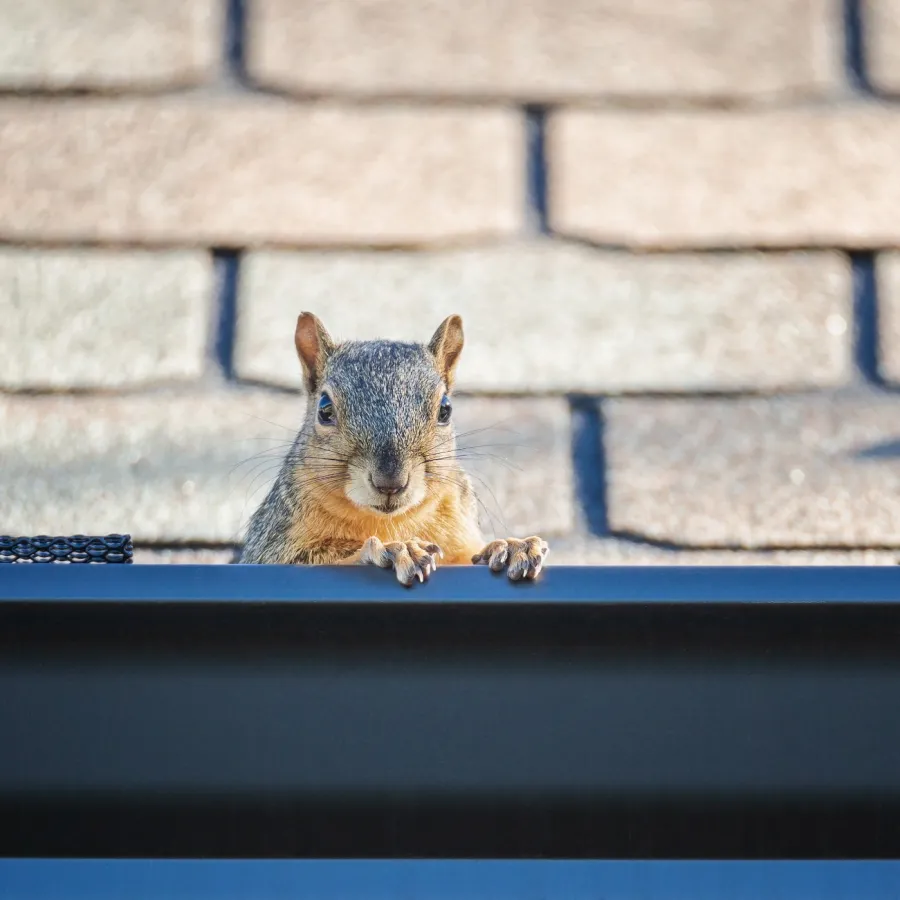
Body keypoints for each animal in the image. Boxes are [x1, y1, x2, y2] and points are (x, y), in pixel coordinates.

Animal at [239, 312, 548, 588]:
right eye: (324, 409)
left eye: (445, 409)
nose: (390, 482)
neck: (391, 520)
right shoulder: (271, 547)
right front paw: (393, 549)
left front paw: (508, 547)